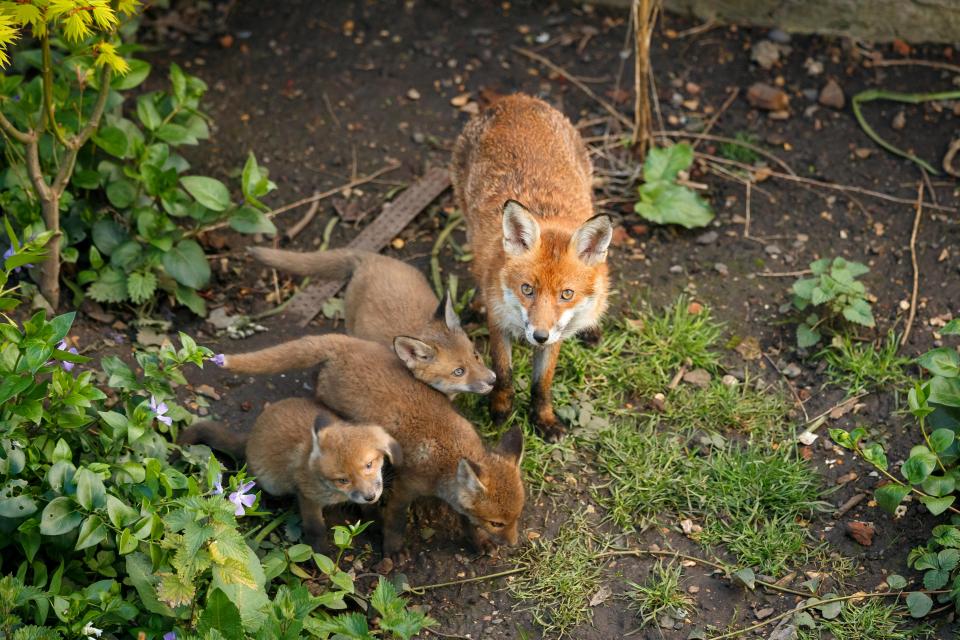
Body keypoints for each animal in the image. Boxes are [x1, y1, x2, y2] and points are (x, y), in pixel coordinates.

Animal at [178, 396, 400, 552]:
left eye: (369, 465)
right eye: (343, 480)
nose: (370, 496)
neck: (336, 494)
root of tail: (251, 434)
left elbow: (370, 512)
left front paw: (378, 526)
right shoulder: (307, 496)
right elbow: (315, 528)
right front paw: (320, 553)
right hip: (271, 483)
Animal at [220, 336, 520, 556]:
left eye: (516, 518)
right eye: (497, 523)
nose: (515, 544)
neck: (447, 457)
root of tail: (346, 343)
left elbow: (467, 522)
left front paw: (479, 543)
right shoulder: (403, 489)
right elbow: (395, 524)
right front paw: (393, 551)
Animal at [452, 95, 616, 442]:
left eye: (566, 294)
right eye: (527, 289)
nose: (539, 336)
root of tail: (515, 99)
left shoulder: (556, 335)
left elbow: (543, 383)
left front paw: (543, 419)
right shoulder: (499, 323)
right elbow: (504, 374)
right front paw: (500, 412)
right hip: (468, 221)